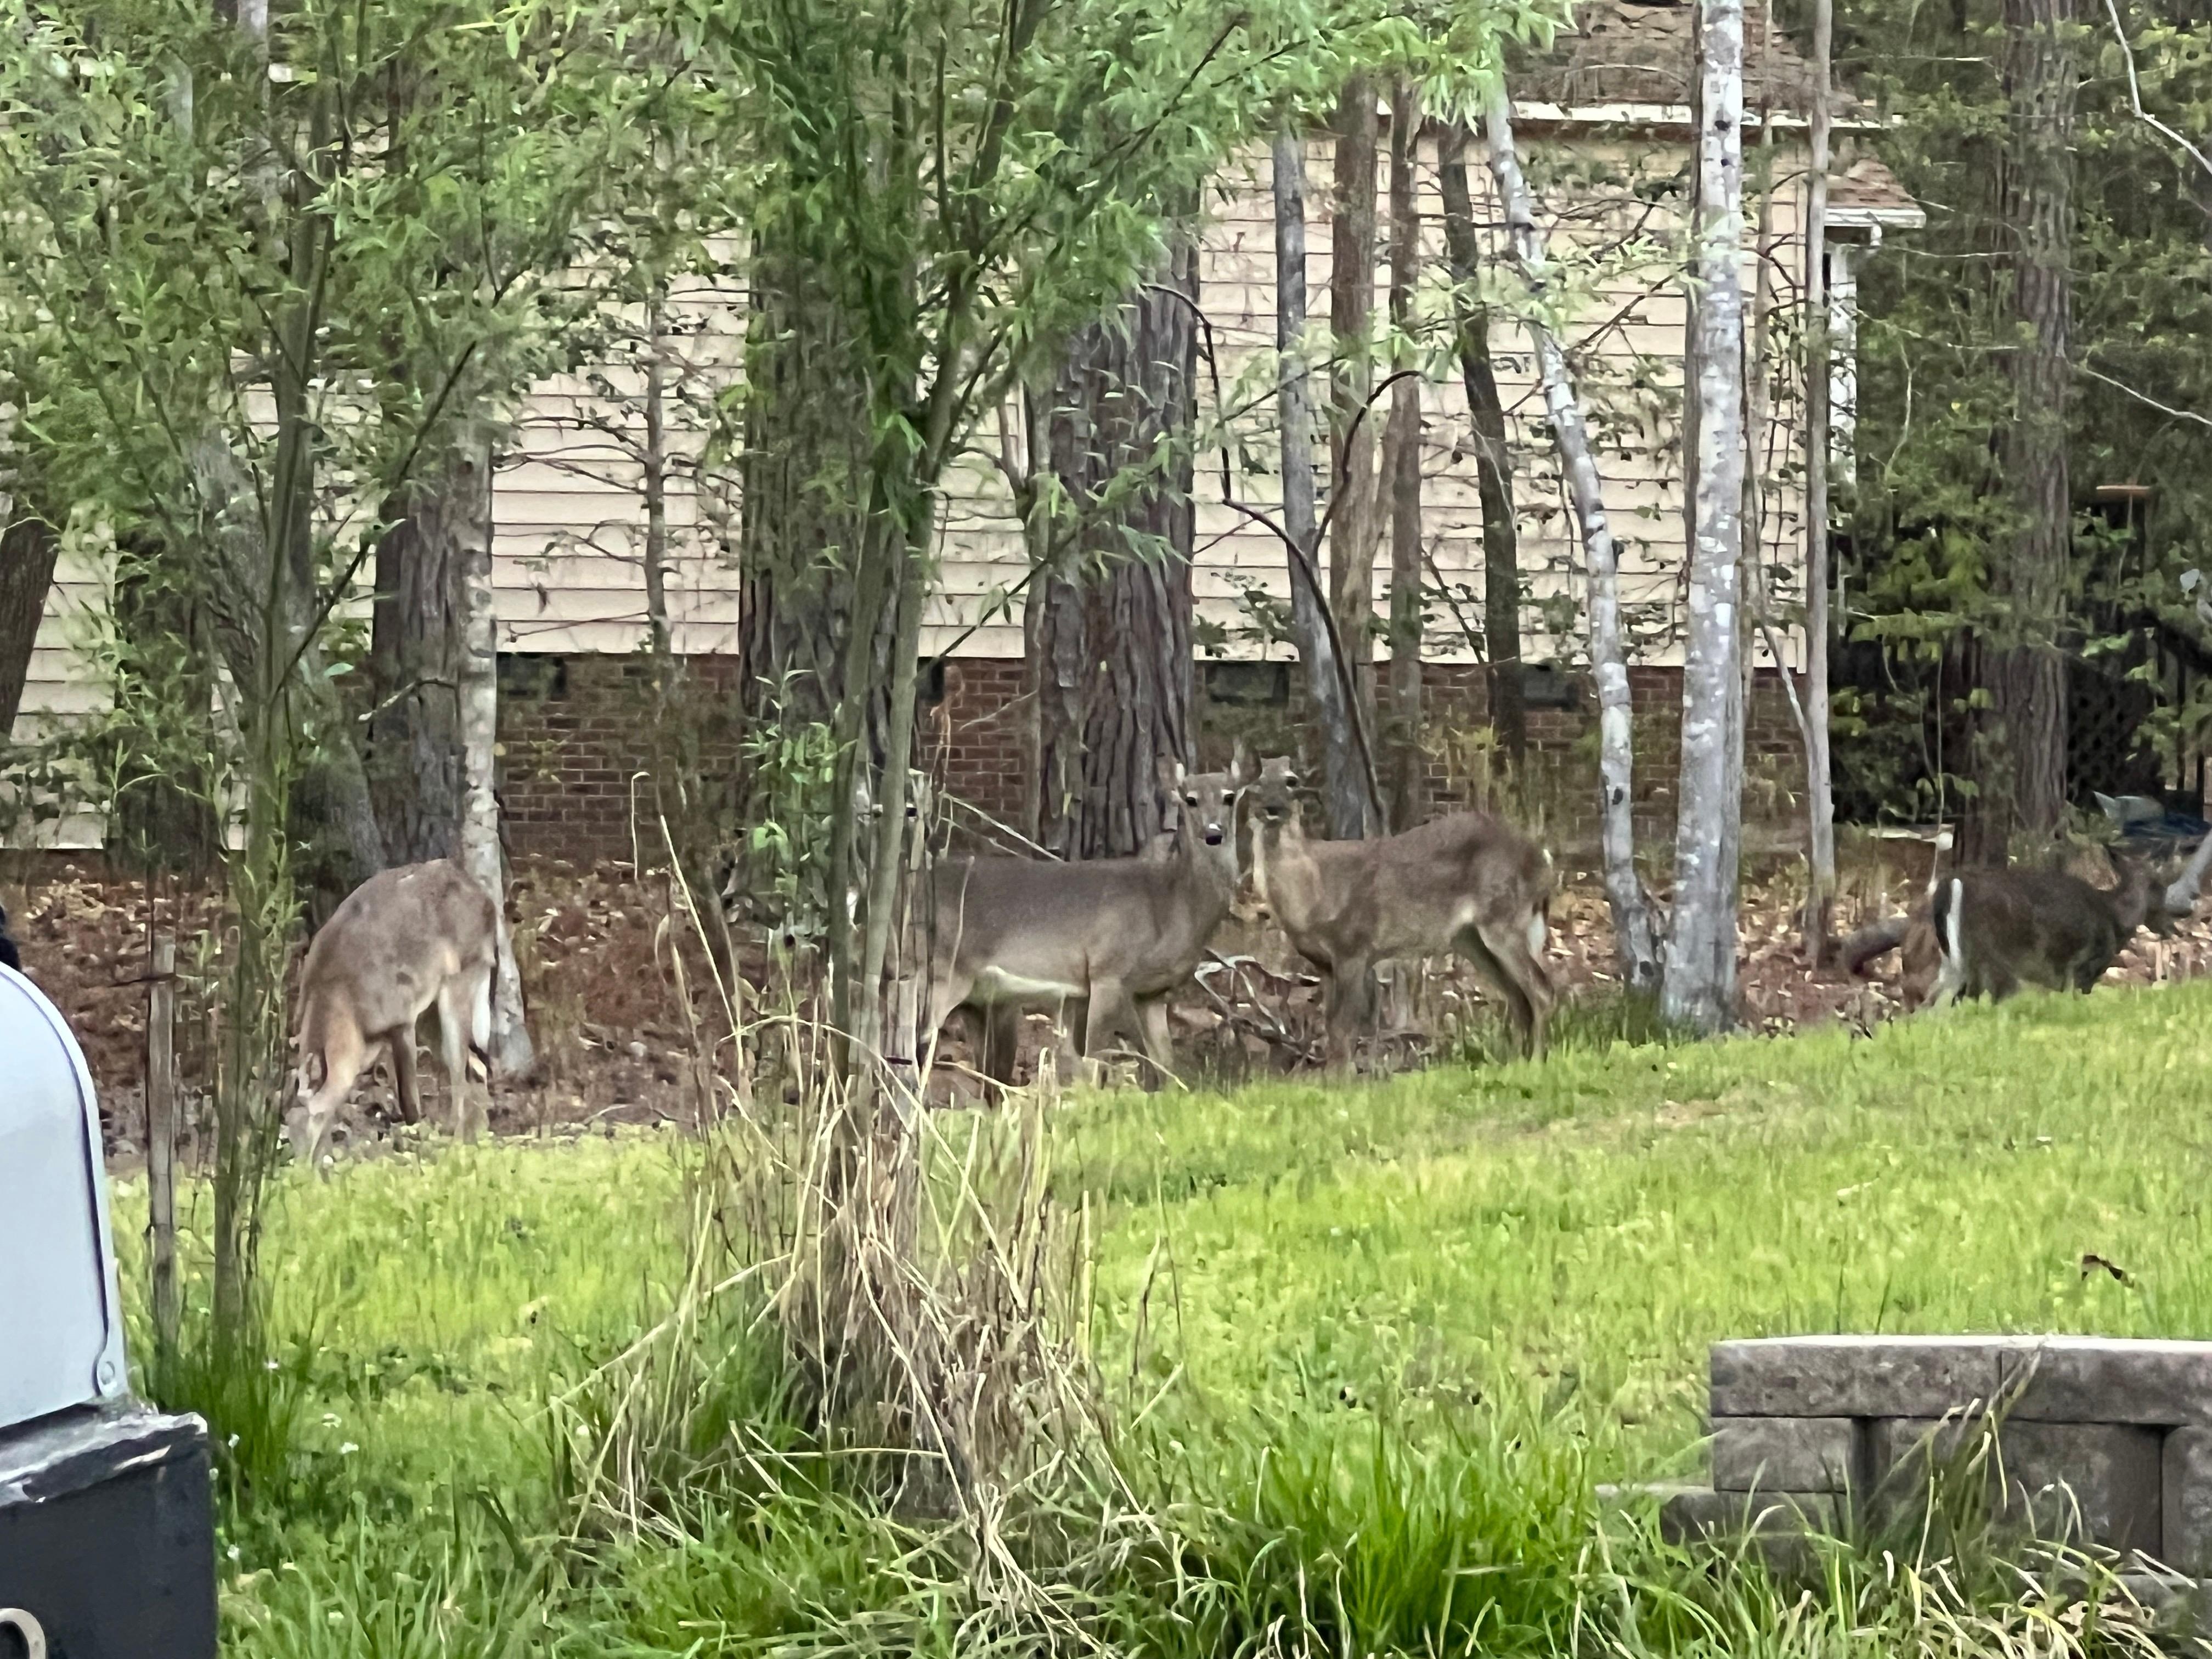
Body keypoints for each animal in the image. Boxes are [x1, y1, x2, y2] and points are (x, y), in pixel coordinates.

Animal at [287, 858, 499, 1165]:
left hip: (460, 978)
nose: (298, 1168)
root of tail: (488, 903)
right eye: (287, 1130)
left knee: (460, 1069)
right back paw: (478, 1136)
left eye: (311, 1118)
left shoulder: (401, 1020)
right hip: (432, 1011)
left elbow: (410, 1105)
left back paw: (457, 1143)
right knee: (477, 1065)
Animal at [926, 747, 1254, 1090]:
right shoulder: (1106, 971)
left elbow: (1164, 1064)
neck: (1170, 906)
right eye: (1190, 799)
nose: (1213, 834)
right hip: (941, 975)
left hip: (977, 1001)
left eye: (1229, 797)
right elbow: (1096, 1059)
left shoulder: (1153, 993)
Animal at [1246, 756, 1555, 1063]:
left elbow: (1345, 1029)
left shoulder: (1353, 947)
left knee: (1541, 990)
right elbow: (1332, 1029)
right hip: (1470, 938)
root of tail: (1543, 860)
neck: (1313, 895)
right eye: (1259, 782)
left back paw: (1536, 1060)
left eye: (1291, 780)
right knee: (1518, 996)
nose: (1271, 808)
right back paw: (1517, 1060)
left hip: (1504, 918)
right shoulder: (1323, 963)